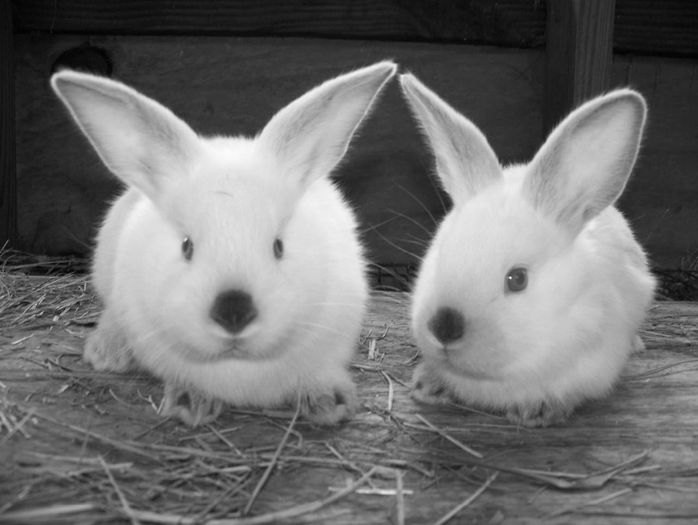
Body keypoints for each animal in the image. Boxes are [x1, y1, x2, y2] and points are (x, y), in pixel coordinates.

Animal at [51, 60, 397, 426]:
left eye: (279, 246)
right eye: (186, 246)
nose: (234, 313)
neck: (239, 365)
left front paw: (330, 402)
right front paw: (190, 401)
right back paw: (107, 352)